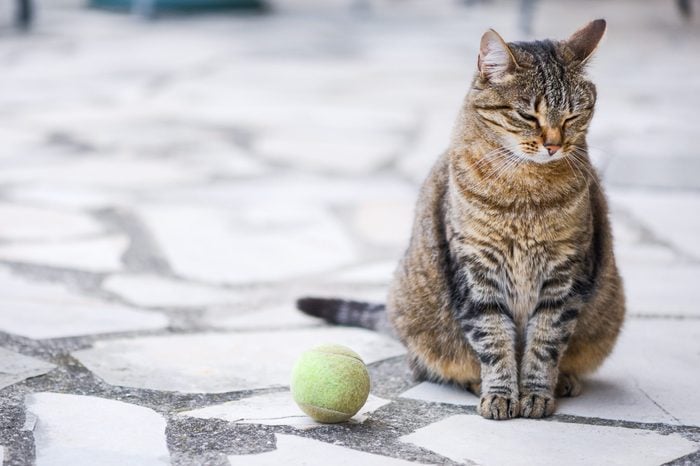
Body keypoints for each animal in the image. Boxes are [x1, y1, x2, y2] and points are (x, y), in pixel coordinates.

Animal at [298, 18, 628, 420]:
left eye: (573, 115)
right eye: (528, 115)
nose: (553, 145)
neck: (526, 193)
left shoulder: (564, 273)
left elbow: (545, 341)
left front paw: (536, 393)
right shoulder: (475, 272)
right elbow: (494, 338)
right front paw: (501, 395)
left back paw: (564, 379)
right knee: (427, 364)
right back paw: (473, 382)